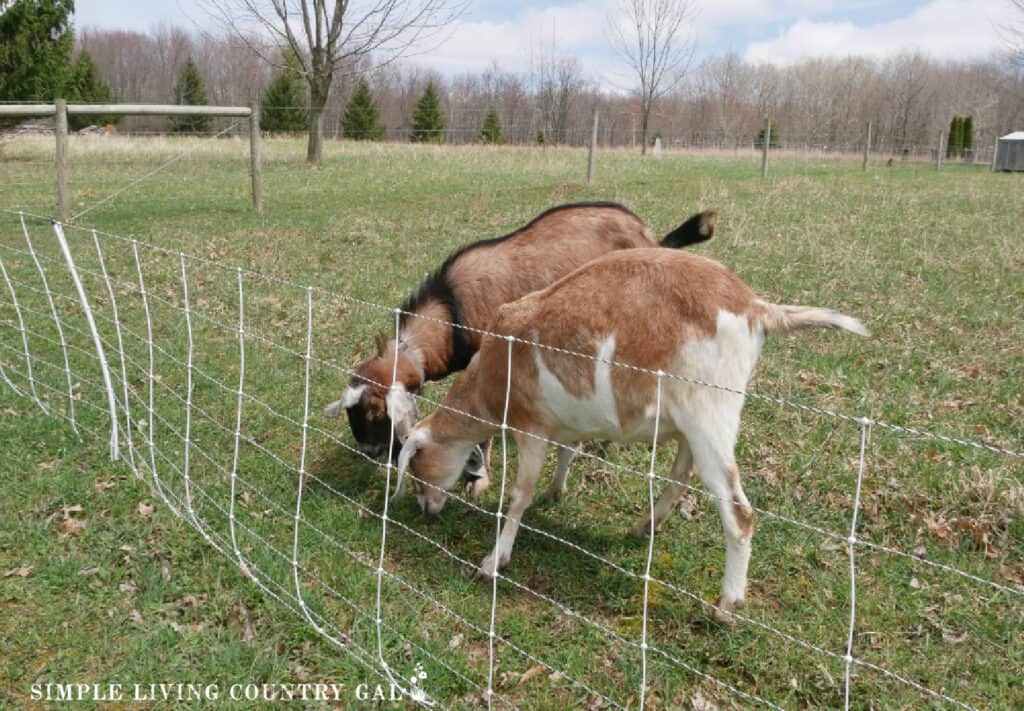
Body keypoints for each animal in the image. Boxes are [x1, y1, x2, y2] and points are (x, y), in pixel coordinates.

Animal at [391, 247, 864, 622]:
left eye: (415, 463)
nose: (426, 509)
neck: (494, 370)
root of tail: (755, 307)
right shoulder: (567, 420)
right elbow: (570, 451)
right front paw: (556, 492)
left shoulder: (530, 426)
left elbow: (519, 496)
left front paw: (493, 561)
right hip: (692, 421)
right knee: (681, 472)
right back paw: (646, 526)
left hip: (711, 413)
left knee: (739, 514)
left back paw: (726, 605)